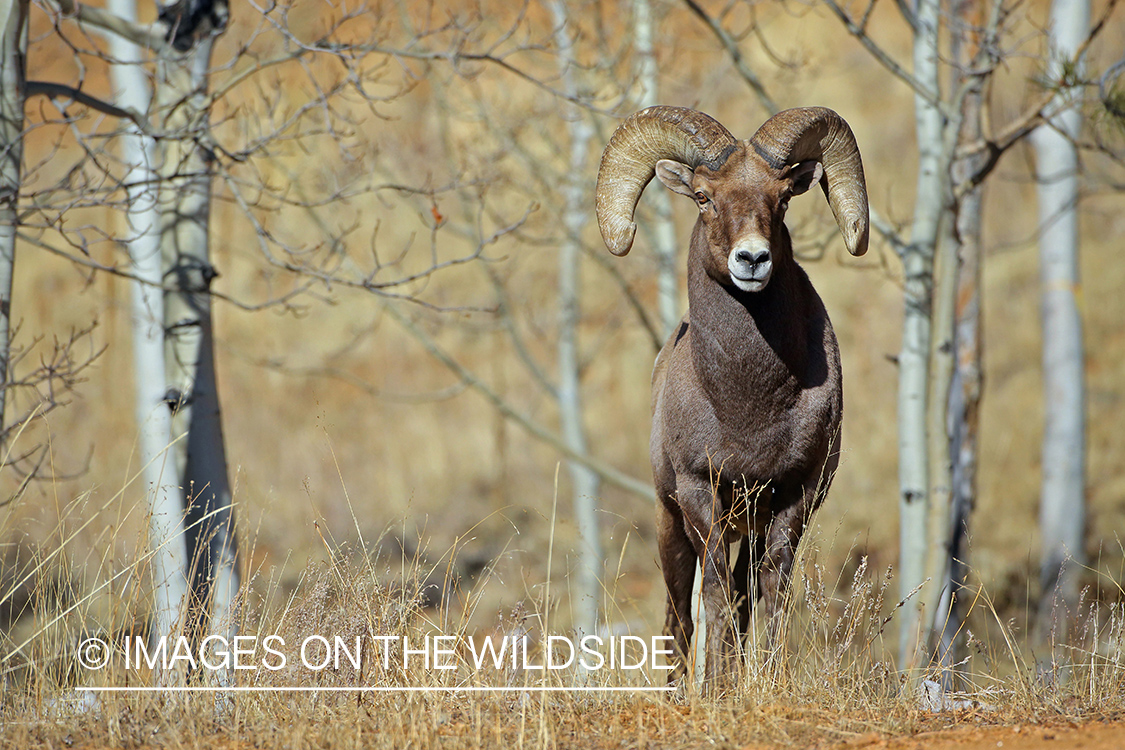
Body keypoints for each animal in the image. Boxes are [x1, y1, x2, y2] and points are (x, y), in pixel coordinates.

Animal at [594, 105, 869, 689]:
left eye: (783, 196)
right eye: (703, 196)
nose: (752, 259)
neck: (748, 407)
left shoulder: (792, 495)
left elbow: (770, 589)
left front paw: (761, 680)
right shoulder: (702, 493)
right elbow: (715, 591)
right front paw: (716, 687)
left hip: (750, 523)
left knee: (744, 592)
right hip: (669, 520)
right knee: (679, 608)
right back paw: (681, 687)